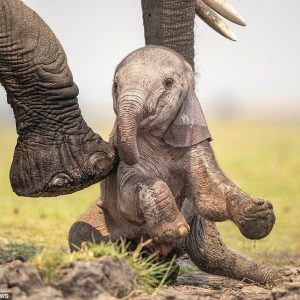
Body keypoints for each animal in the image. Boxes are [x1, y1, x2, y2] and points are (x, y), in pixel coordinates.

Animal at [98, 46, 274, 244]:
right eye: (115, 85)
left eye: (168, 82)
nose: (113, 152)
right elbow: (129, 196)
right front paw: (173, 231)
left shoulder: (193, 142)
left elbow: (211, 194)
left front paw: (259, 212)